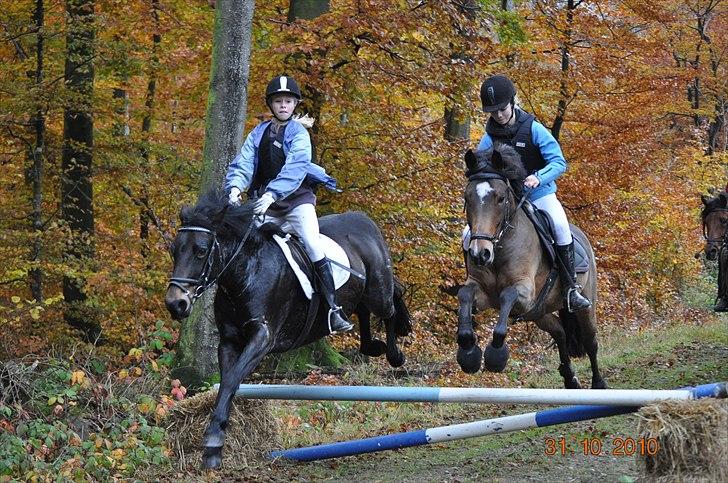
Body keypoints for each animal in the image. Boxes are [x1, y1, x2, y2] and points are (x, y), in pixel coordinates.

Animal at [167, 193, 412, 468]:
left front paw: (212, 440)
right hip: (360, 295)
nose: (175, 304)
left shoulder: (263, 337)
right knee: (362, 311)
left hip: (378, 290)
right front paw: (214, 448)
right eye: (174, 251)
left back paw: (395, 354)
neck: (247, 271)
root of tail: (363, 219)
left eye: (200, 251)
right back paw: (369, 344)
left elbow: (231, 379)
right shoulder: (229, 341)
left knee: (391, 304)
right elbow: (228, 382)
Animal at [458, 143, 604, 390]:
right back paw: (570, 379)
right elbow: (465, 294)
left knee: (590, 341)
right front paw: (468, 351)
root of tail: (582, 235)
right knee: (560, 332)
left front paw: (496, 356)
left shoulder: (524, 293)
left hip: (584, 303)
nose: (480, 253)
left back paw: (599, 384)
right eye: (468, 198)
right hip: (538, 312)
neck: (500, 246)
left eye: (500, 198)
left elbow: (507, 295)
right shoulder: (483, 293)